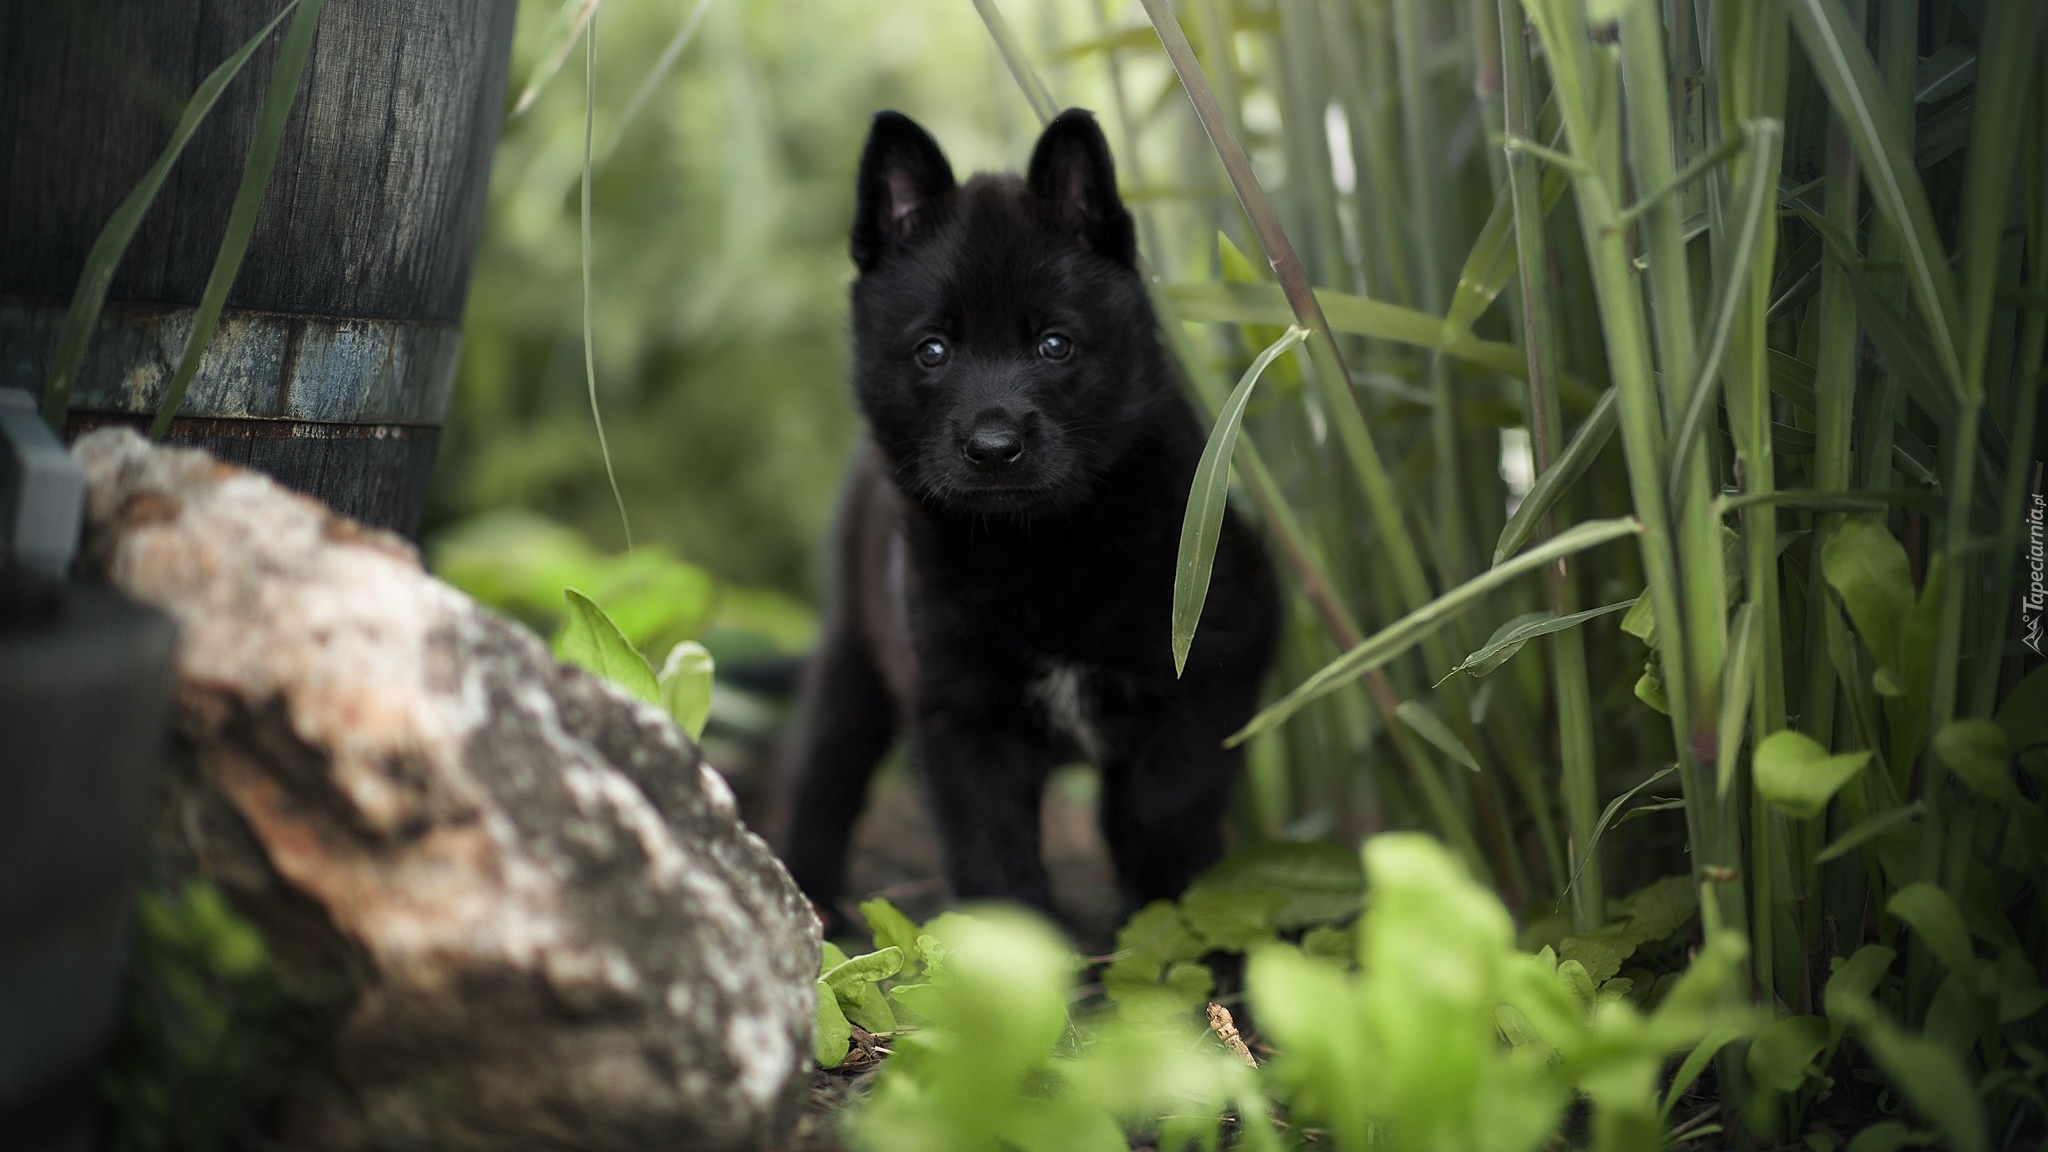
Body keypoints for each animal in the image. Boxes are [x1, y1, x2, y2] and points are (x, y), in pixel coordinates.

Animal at [782, 105, 1277, 914]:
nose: (993, 447)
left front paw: (1165, 897)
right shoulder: (960, 716)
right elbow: (994, 861)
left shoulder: (1219, 668)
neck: (1044, 549)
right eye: (932, 350)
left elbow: (1164, 802)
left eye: (1054, 344)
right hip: (854, 655)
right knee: (824, 776)